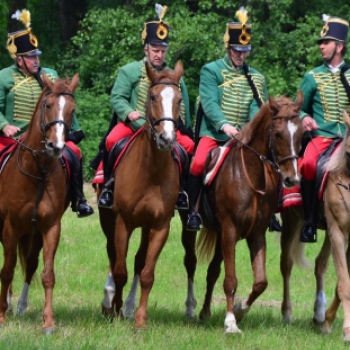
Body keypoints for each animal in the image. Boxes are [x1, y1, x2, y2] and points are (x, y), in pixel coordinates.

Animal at [0, 73, 78, 334]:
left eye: (72, 110)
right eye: (48, 105)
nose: (56, 147)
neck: (38, 170)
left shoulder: (51, 227)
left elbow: (47, 273)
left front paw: (48, 321)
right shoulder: (10, 227)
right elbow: (7, 270)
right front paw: (1, 315)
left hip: (32, 234)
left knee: (31, 263)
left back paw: (21, 306)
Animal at [97, 58, 198, 330]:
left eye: (179, 99)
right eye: (153, 96)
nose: (167, 138)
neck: (151, 170)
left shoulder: (159, 226)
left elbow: (147, 273)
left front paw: (140, 319)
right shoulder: (123, 222)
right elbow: (120, 270)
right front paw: (115, 310)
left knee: (150, 260)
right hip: (107, 218)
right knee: (112, 255)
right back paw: (109, 301)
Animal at [196, 92, 304, 334]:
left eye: (302, 133)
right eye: (278, 134)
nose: (292, 179)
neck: (250, 176)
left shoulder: (256, 234)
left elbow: (261, 282)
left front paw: (239, 311)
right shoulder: (230, 231)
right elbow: (230, 280)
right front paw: (230, 322)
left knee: (212, 271)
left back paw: (205, 312)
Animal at [282, 111, 350, 342]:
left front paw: (329, 320)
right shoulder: (338, 232)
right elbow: (344, 282)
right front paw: (347, 330)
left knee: (320, 263)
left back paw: (320, 316)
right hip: (291, 221)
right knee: (287, 265)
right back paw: (287, 312)